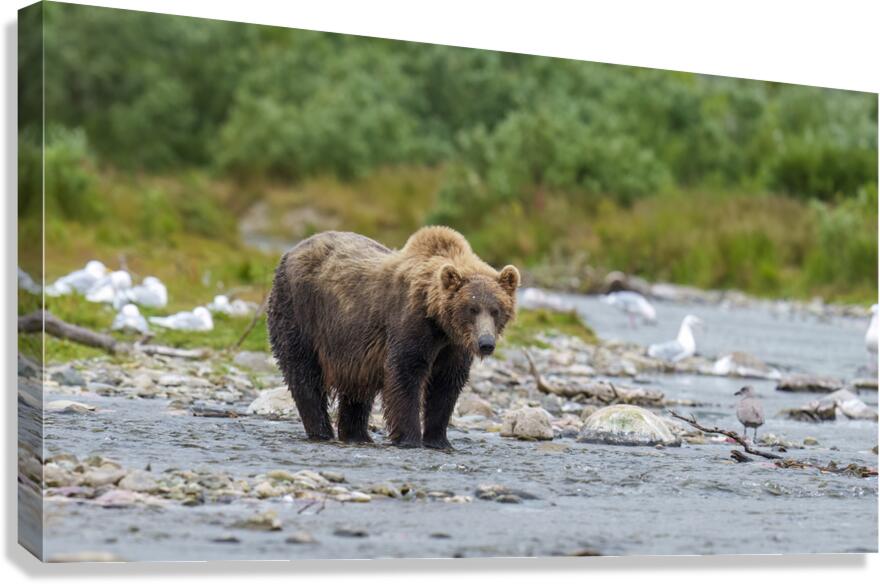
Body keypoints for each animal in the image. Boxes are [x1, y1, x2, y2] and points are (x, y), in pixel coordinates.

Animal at [266, 226, 520, 449]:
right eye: (472, 309)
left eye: (496, 310)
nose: (486, 343)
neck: (439, 322)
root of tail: (292, 251)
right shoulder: (411, 325)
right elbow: (405, 375)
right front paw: (409, 438)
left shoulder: (453, 347)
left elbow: (445, 385)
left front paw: (439, 440)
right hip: (300, 311)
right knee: (304, 374)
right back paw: (322, 431)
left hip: (352, 346)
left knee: (357, 390)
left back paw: (357, 435)